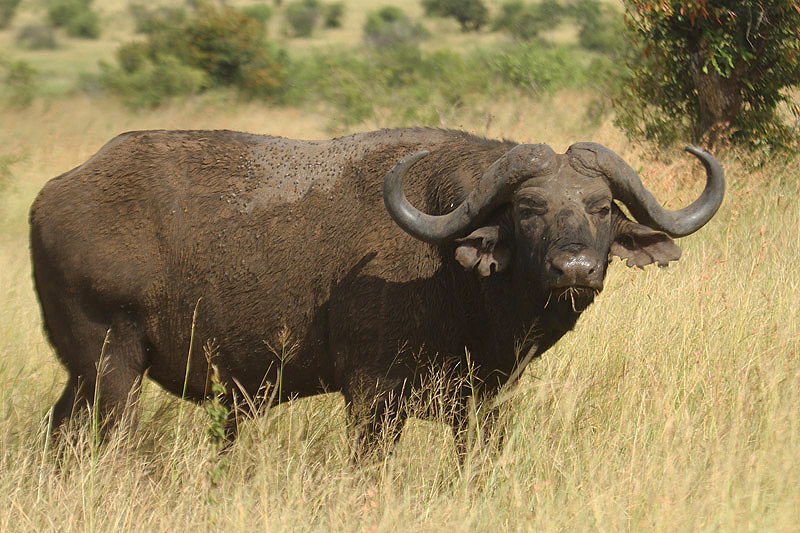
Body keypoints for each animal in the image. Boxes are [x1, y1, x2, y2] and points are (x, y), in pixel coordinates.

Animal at [28, 128, 720, 454]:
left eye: (601, 208)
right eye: (529, 209)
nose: (574, 267)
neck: (450, 274)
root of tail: (53, 194)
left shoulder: (484, 401)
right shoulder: (371, 395)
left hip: (82, 376)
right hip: (113, 366)